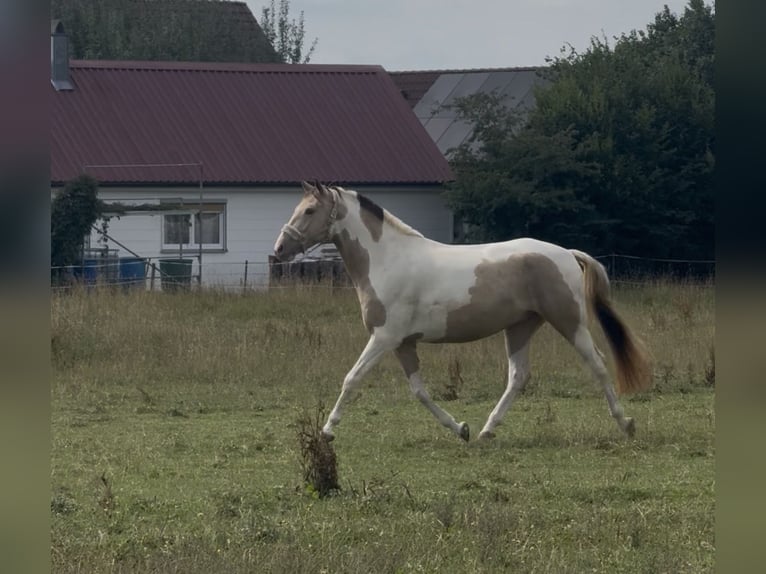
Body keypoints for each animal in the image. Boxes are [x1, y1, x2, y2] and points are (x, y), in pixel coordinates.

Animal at [273, 181, 652, 442]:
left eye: (309, 211)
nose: (279, 249)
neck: (387, 259)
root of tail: (567, 253)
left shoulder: (384, 338)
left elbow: (352, 379)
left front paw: (327, 431)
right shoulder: (403, 343)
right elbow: (420, 392)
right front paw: (461, 428)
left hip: (569, 323)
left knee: (598, 364)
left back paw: (627, 424)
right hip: (520, 327)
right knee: (518, 376)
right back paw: (486, 430)